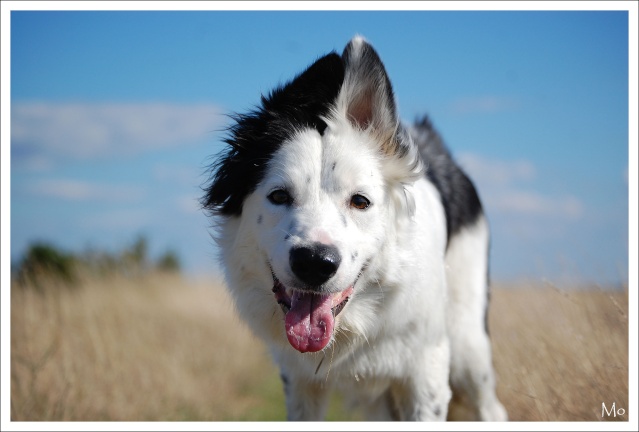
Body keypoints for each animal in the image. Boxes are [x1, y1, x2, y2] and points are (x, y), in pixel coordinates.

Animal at [202, 35, 508, 420]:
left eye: (360, 201)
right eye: (279, 196)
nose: (314, 263)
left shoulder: (427, 372)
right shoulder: (300, 381)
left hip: (468, 345)